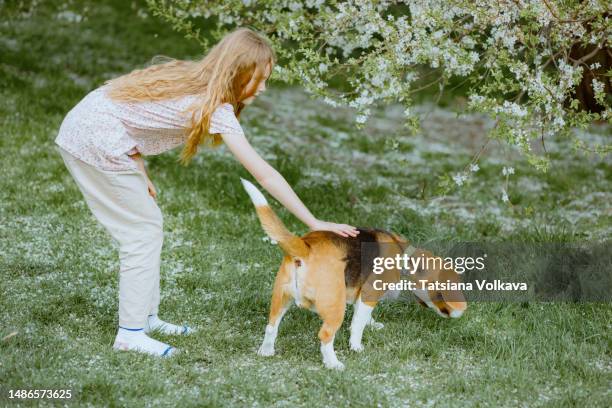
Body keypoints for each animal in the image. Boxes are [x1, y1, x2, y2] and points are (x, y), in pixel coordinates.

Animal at [241, 178, 466, 370]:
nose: (459, 314)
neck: (403, 255)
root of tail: (305, 247)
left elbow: (363, 316)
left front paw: (372, 324)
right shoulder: (369, 294)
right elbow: (357, 324)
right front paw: (356, 346)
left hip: (281, 298)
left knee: (271, 327)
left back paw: (266, 351)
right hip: (335, 307)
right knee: (325, 335)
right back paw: (333, 364)